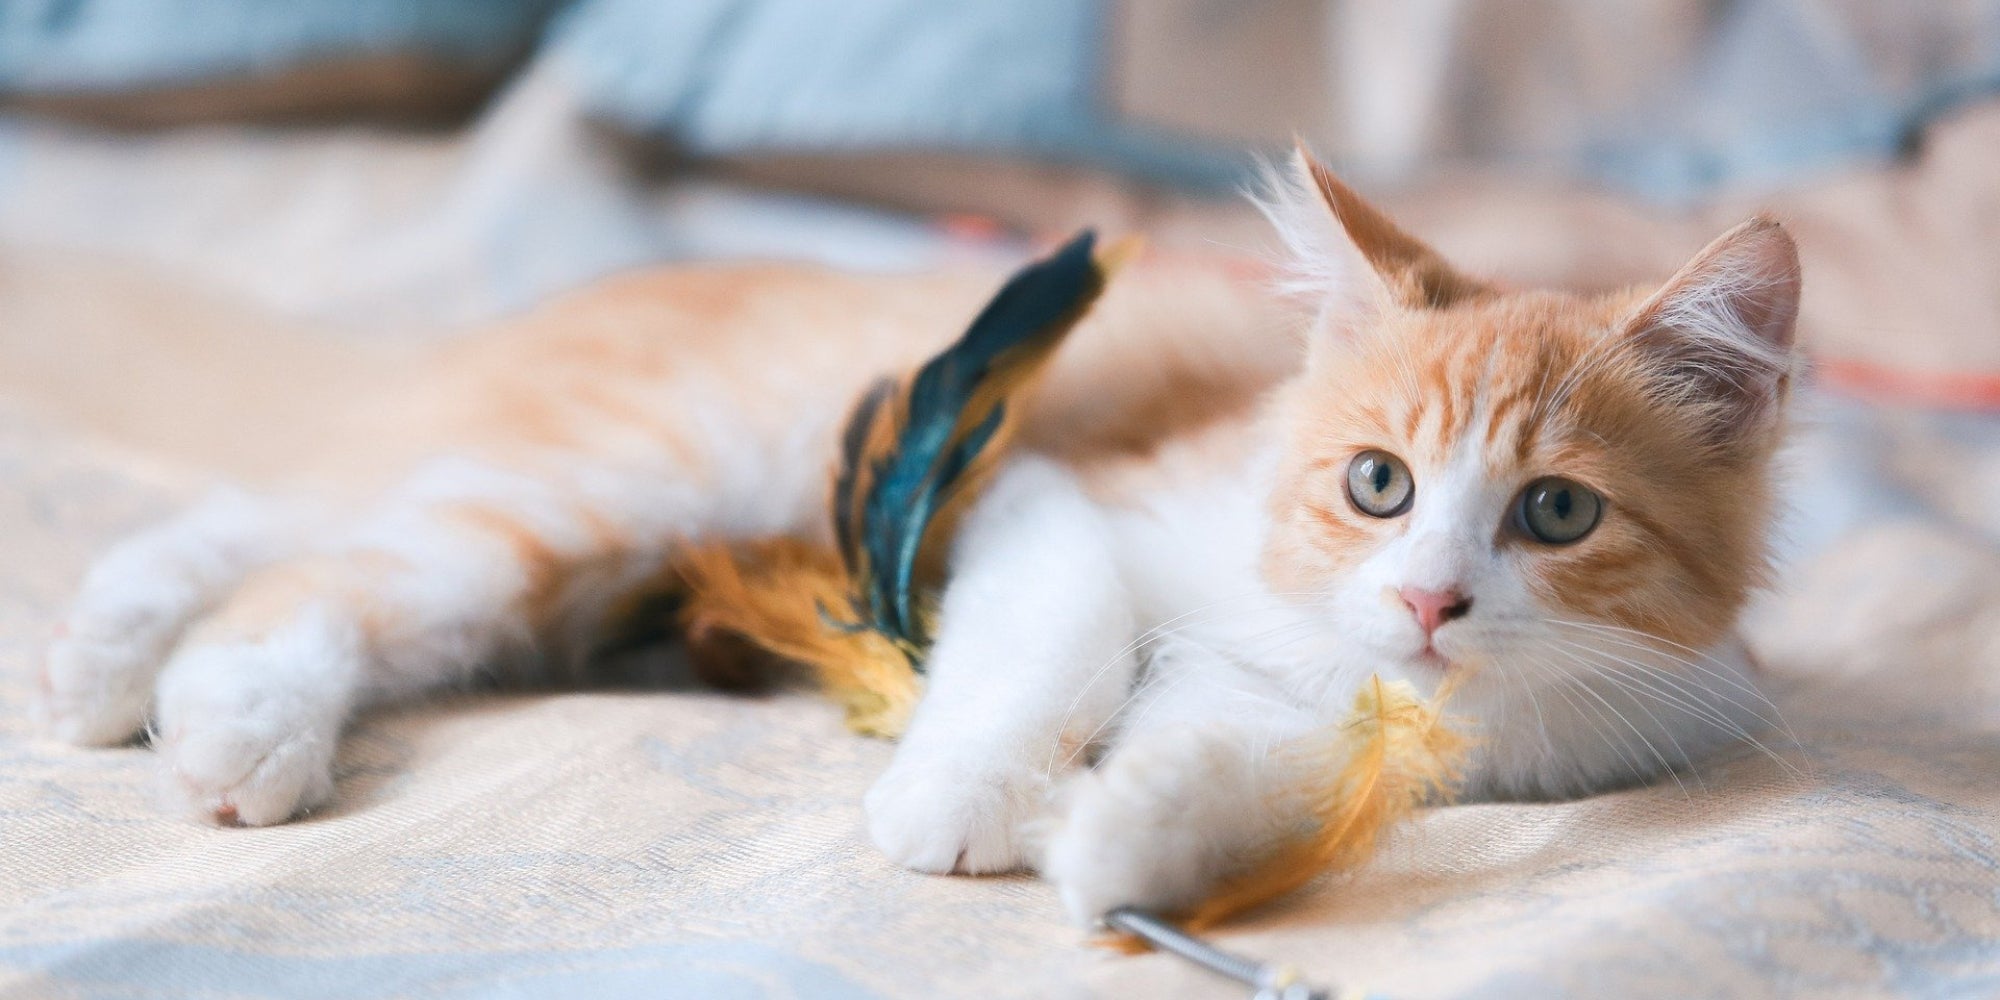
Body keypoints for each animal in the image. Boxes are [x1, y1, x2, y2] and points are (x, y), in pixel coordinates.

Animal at [39, 152, 1808, 924]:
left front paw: (1128, 848)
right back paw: (221, 721)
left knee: (287, 512)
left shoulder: (1383, 724)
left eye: (1557, 512)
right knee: (331, 556)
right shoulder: (1056, 501)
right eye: (1377, 483)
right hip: (665, 473)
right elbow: (1050, 645)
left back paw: (101, 661)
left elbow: (1251, 769)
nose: (1433, 601)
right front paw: (964, 803)